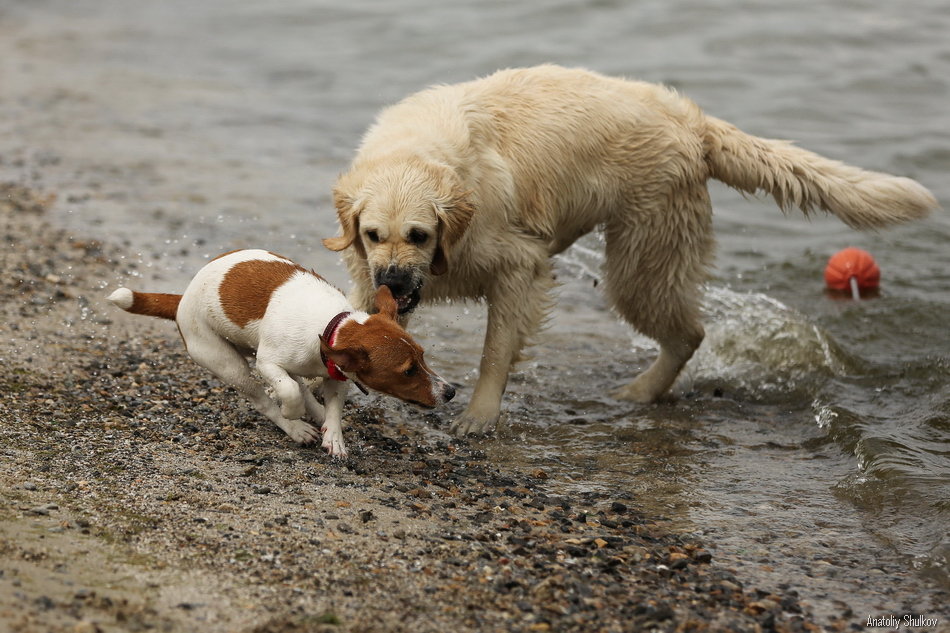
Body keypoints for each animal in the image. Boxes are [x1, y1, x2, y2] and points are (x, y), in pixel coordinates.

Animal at [108, 247, 458, 454]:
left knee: (299, 384)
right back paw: (295, 426)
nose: (451, 391)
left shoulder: (336, 373)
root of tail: (182, 299)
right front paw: (293, 413)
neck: (331, 325)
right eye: (407, 371)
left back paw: (315, 414)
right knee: (265, 398)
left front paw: (333, 434)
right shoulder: (269, 362)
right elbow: (287, 390)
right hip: (226, 362)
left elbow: (332, 405)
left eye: (423, 357)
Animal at [324, 66, 940, 436]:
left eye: (421, 234)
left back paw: (641, 391)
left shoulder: (519, 266)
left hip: (641, 260)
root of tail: (692, 122)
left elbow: (496, 351)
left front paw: (479, 415)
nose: (394, 285)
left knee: (688, 333)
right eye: (374, 234)